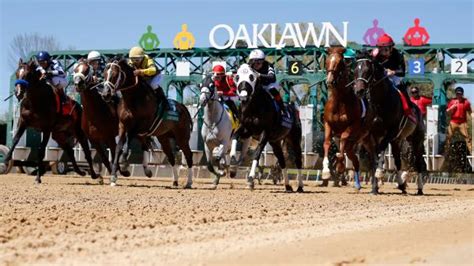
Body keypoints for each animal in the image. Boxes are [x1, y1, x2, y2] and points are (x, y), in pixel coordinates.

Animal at [102, 58, 194, 187]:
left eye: (114, 75)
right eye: (105, 74)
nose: (105, 94)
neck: (134, 99)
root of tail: (183, 108)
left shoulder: (141, 127)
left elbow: (127, 144)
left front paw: (125, 166)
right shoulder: (123, 126)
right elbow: (119, 147)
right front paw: (114, 177)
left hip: (182, 137)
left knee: (188, 155)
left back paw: (189, 182)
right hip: (163, 137)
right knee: (170, 157)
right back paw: (175, 181)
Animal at [230, 63, 304, 192]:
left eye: (252, 77)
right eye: (237, 77)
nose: (243, 96)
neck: (254, 107)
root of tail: (293, 108)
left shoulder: (265, 132)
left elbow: (257, 153)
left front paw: (251, 178)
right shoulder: (247, 129)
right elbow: (235, 136)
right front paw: (233, 162)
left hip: (294, 139)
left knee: (298, 161)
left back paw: (299, 186)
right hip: (275, 142)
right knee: (282, 161)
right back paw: (287, 185)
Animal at [320, 47, 376, 189]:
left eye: (340, 62)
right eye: (327, 61)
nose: (329, 81)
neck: (339, 101)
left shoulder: (352, 126)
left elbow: (343, 139)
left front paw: (340, 166)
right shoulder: (328, 124)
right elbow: (327, 142)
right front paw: (325, 172)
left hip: (365, 139)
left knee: (371, 158)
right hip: (353, 144)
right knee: (355, 160)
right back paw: (357, 184)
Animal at [354, 52, 428, 195]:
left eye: (367, 70)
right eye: (355, 70)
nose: (358, 91)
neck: (381, 101)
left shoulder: (391, 131)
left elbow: (380, 150)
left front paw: (379, 172)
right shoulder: (372, 134)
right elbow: (374, 157)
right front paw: (374, 188)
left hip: (416, 139)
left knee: (418, 162)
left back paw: (420, 188)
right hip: (397, 141)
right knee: (398, 160)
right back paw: (401, 185)